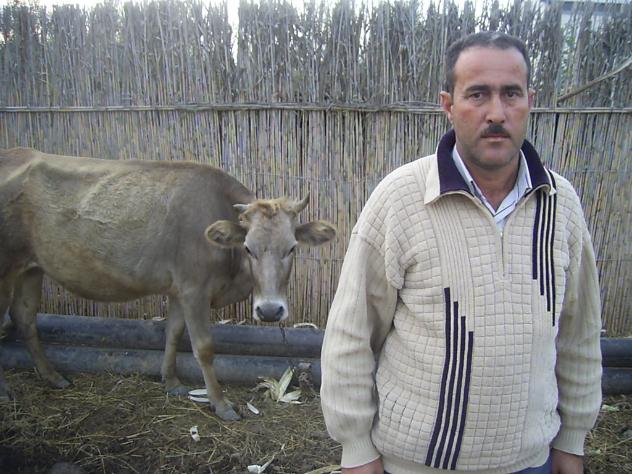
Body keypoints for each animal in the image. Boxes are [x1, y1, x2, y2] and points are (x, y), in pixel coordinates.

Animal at [0, 147, 336, 420]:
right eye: (248, 248)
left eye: (291, 247)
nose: (269, 311)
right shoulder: (194, 290)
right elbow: (203, 347)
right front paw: (221, 404)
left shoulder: (178, 289)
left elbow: (173, 332)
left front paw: (172, 382)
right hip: (5, 269)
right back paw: (7, 390)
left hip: (32, 267)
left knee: (24, 316)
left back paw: (52, 376)